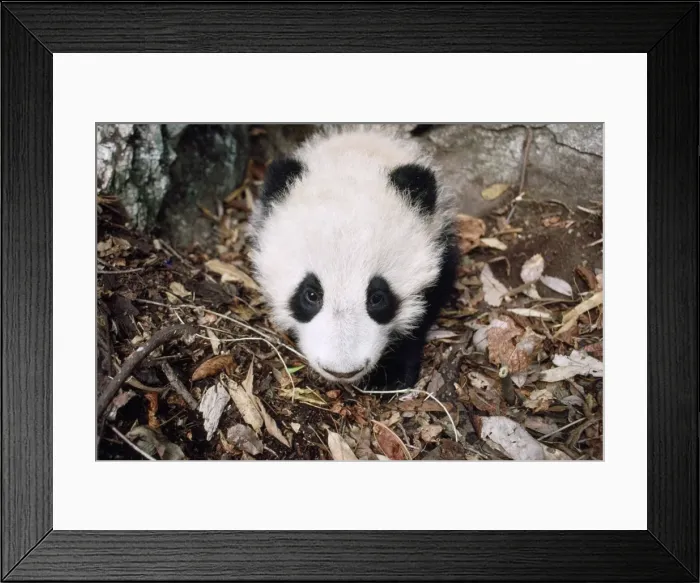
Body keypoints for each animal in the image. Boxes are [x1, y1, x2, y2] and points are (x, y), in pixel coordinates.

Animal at [248, 124, 459, 391]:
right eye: (311, 294)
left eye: (377, 297)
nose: (342, 371)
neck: (355, 157)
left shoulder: (441, 245)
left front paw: (390, 375)